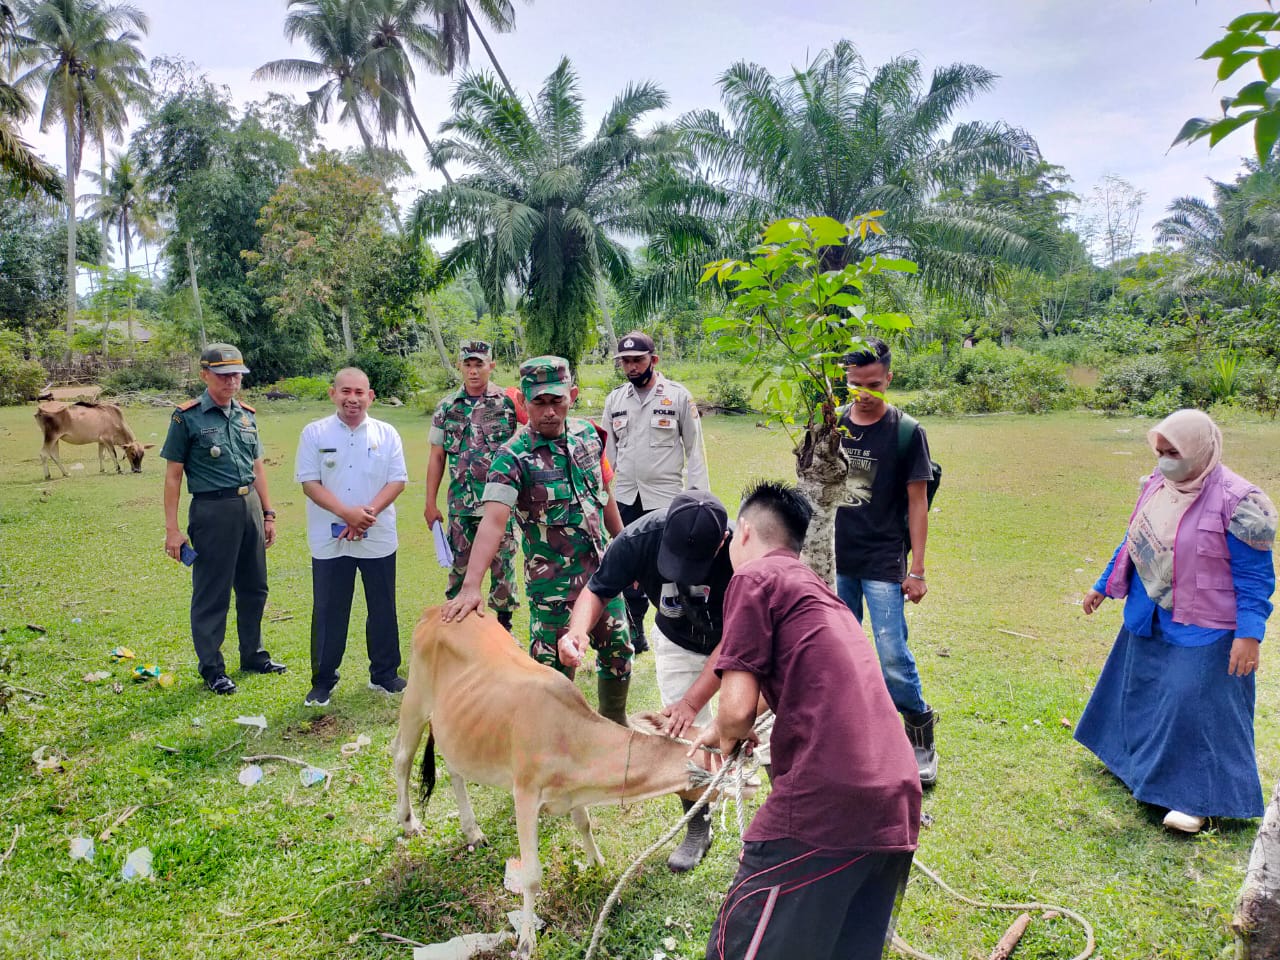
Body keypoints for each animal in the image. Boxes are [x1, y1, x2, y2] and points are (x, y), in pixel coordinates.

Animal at [391, 611, 711, 957]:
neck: (571, 734)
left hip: (459, 727)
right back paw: (409, 821)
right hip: (415, 701)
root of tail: (435, 611)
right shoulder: (525, 793)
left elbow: (584, 823)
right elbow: (531, 876)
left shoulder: (573, 790)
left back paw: (472, 830)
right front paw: (526, 940)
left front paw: (597, 864)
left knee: (455, 770)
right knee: (402, 756)